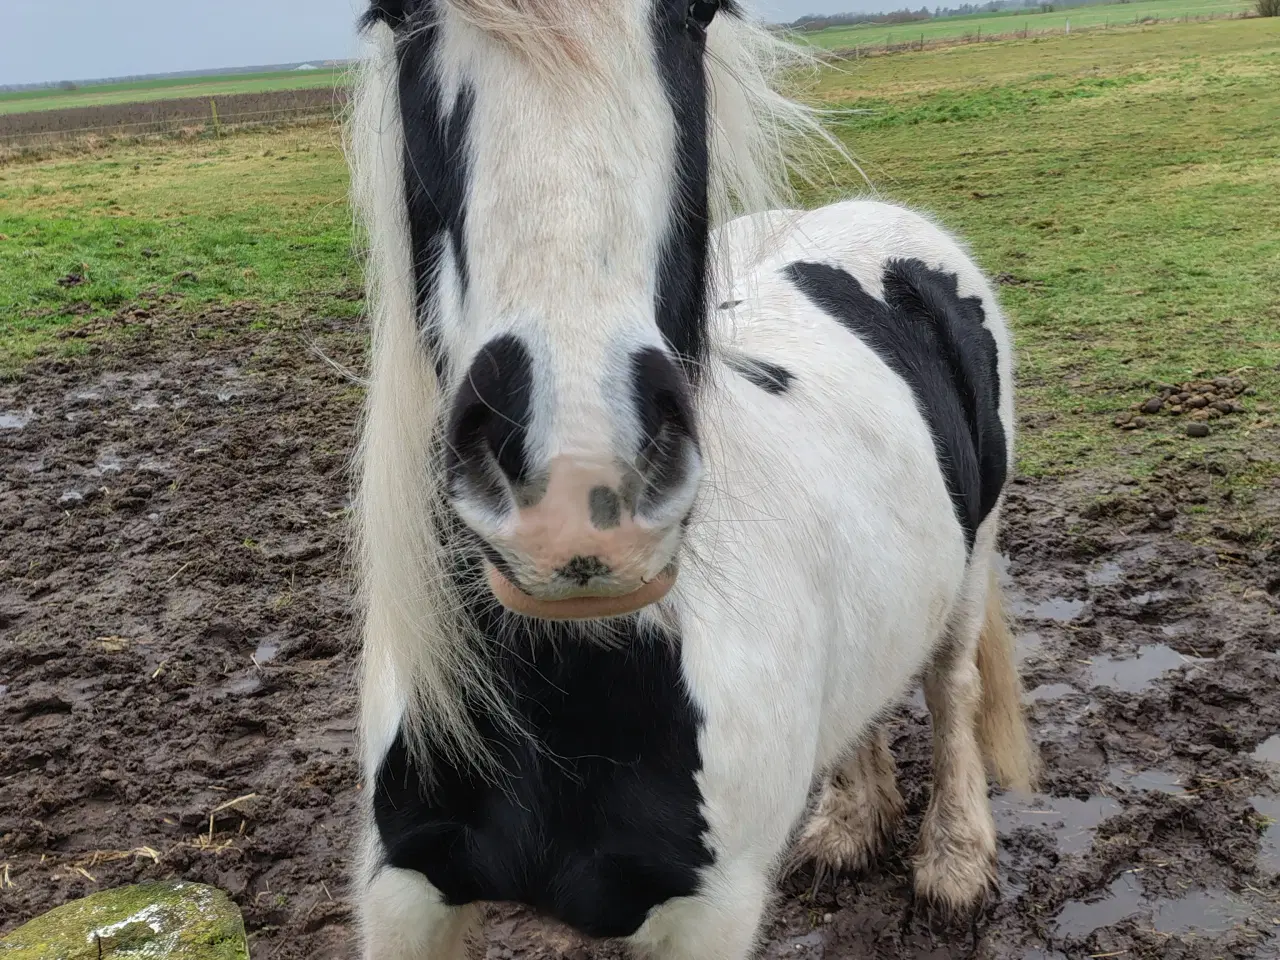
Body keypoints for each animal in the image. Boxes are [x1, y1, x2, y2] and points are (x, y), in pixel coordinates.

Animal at [350, 0, 1039, 957]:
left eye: (696, 14)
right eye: (396, 14)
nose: (577, 488)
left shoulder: (708, 916)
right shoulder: (407, 896)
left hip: (974, 558)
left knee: (950, 683)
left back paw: (956, 861)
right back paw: (849, 826)